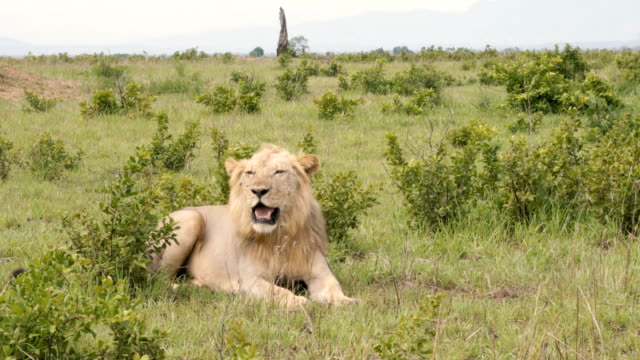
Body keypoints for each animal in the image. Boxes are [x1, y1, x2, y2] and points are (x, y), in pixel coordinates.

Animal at [149, 143, 356, 306]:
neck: (278, 236)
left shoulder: (320, 273)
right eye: (250, 172)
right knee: (159, 280)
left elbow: (333, 288)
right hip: (191, 219)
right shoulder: (250, 280)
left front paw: (346, 301)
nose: (258, 190)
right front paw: (300, 301)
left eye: (279, 172)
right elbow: (278, 291)